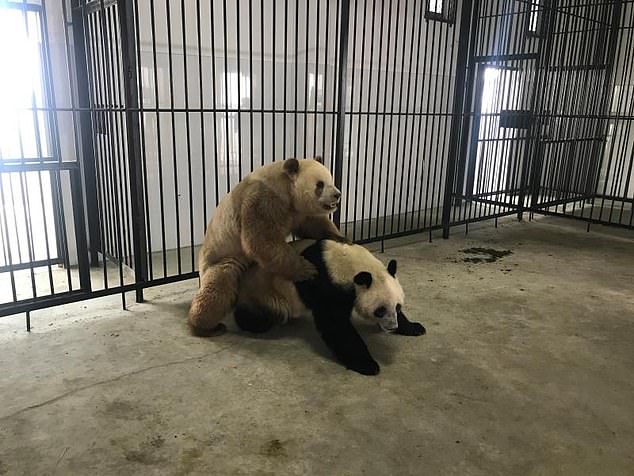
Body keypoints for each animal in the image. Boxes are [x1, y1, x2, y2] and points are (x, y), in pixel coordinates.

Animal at [233, 240, 424, 374]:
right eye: (380, 310)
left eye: (397, 307)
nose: (392, 327)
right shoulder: (328, 285)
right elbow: (336, 325)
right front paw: (367, 365)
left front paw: (414, 327)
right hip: (262, 294)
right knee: (252, 316)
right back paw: (259, 322)